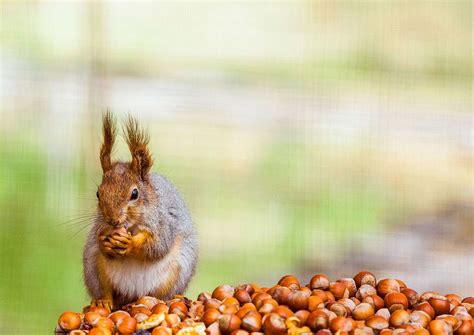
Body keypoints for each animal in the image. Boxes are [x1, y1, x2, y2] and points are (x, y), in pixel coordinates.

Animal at [83, 113, 198, 312]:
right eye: (98, 193)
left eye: (134, 194)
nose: (113, 220)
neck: (132, 226)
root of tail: (132, 296)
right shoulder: (99, 228)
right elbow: (102, 243)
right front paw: (105, 241)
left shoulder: (164, 224)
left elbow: (157, 247)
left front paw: (130, 243)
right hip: (94, 267)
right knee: (106, 290)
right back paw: (102, 301)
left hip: (177, 271)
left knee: (161, 293)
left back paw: (166, 300)